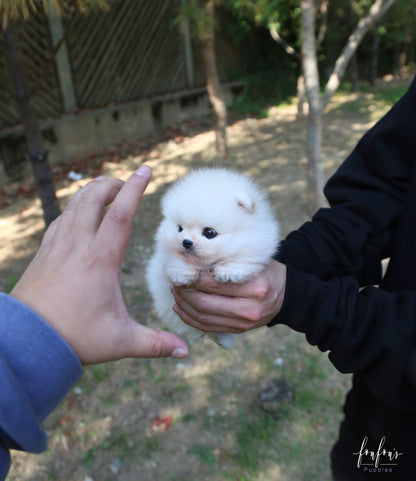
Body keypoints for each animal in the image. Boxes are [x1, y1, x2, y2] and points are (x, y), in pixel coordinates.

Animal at [146, 167, 280, 346]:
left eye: (209, 232)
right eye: (180, 228)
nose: (186, 242)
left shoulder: (257, 245)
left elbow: (242, 260)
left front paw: (228, 272)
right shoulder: (166, 252)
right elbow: (173, 258)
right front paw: (182, 273)